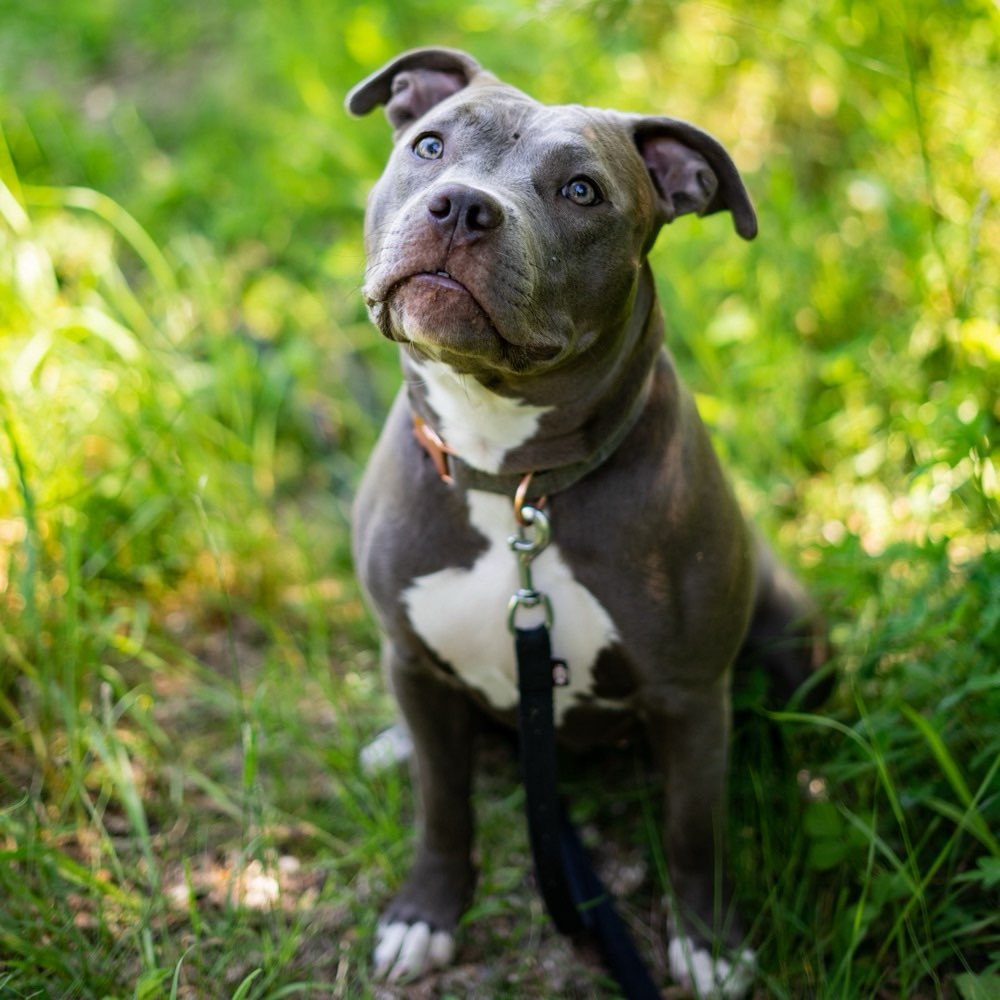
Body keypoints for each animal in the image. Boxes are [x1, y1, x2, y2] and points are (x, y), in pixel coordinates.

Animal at [344, 48, 828, 1000]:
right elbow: (443, 807)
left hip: (789, 627)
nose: (461, 206)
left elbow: (693, 832)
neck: (515, 484)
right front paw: (425, 915)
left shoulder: (689, 696)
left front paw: (709, 944)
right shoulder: (410, 659)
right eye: (430, 144)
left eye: (581, 191)